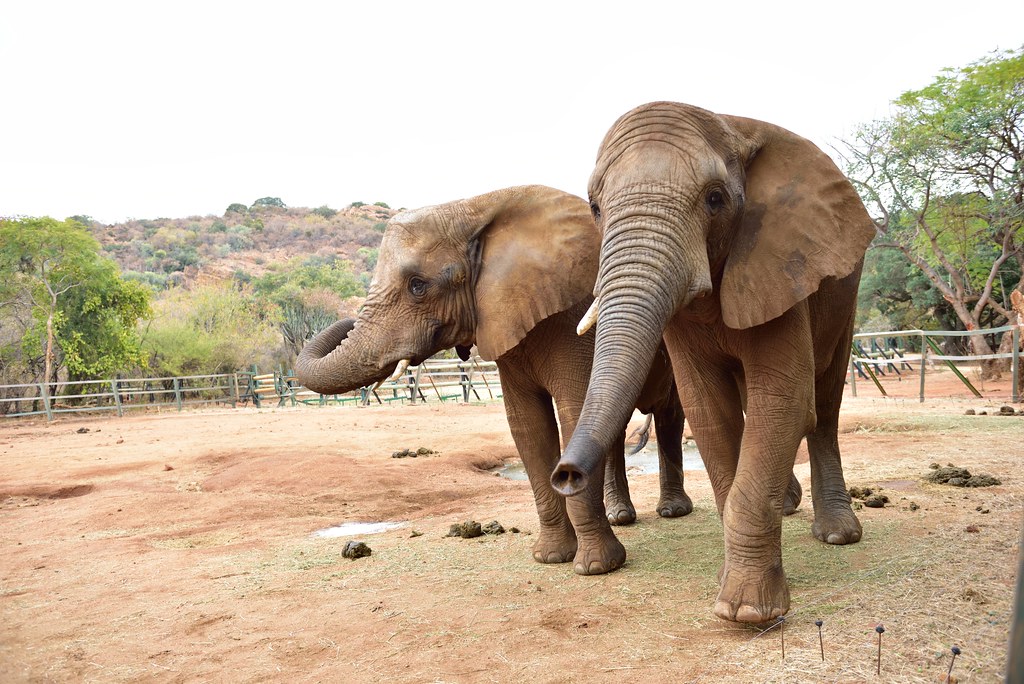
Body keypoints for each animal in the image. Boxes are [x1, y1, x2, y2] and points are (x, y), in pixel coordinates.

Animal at [292, 185, 700, 577]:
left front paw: (597, 568)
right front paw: (551, 558)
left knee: (668, 416)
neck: (474, 209)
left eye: (417, 285)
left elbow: (575, 411)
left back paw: (672, 511)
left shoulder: (571, 316)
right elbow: (527, 426)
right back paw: (621, 518)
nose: (344, 319)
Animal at [557, 102, 876, 626]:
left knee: (825, 401)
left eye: (714, 198)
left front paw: (747, 611)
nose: (565, 474)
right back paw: (789, 507)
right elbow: (708, 408)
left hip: (843, 290)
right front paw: (739, 589)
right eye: (595, 208)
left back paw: (837, 534)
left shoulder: (779, 259)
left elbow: (784, 401)